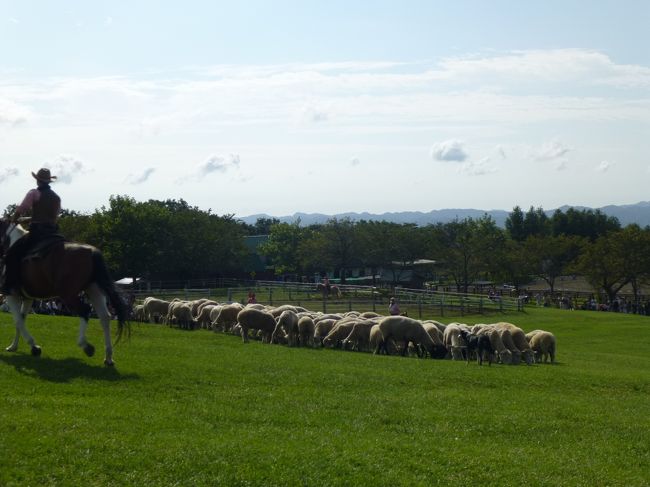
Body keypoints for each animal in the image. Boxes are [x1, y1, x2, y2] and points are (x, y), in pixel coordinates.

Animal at [0, 220, 129, 366]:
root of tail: (91, 251)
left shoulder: (11, 295)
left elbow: (18, 320)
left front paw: (34, 346)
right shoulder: (27, 298)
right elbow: (20, 320)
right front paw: (14, 346)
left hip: (68, 295)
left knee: (85, 311)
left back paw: (86, 345)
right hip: (93, 289)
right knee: (105, 317)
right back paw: (108, 357)